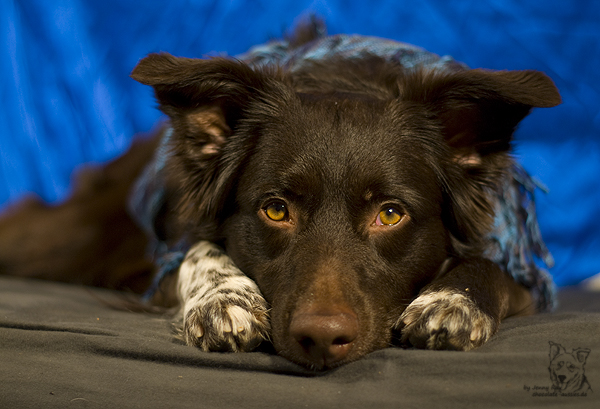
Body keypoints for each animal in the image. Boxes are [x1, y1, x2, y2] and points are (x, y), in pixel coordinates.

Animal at [0, 20, 564, 368]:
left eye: (390, 214)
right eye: (275, 210)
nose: (321, 338)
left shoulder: (526, 273)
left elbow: (491, 268)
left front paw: (452, 301)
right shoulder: (162, 263)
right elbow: (198, 252)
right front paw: (223, 298)